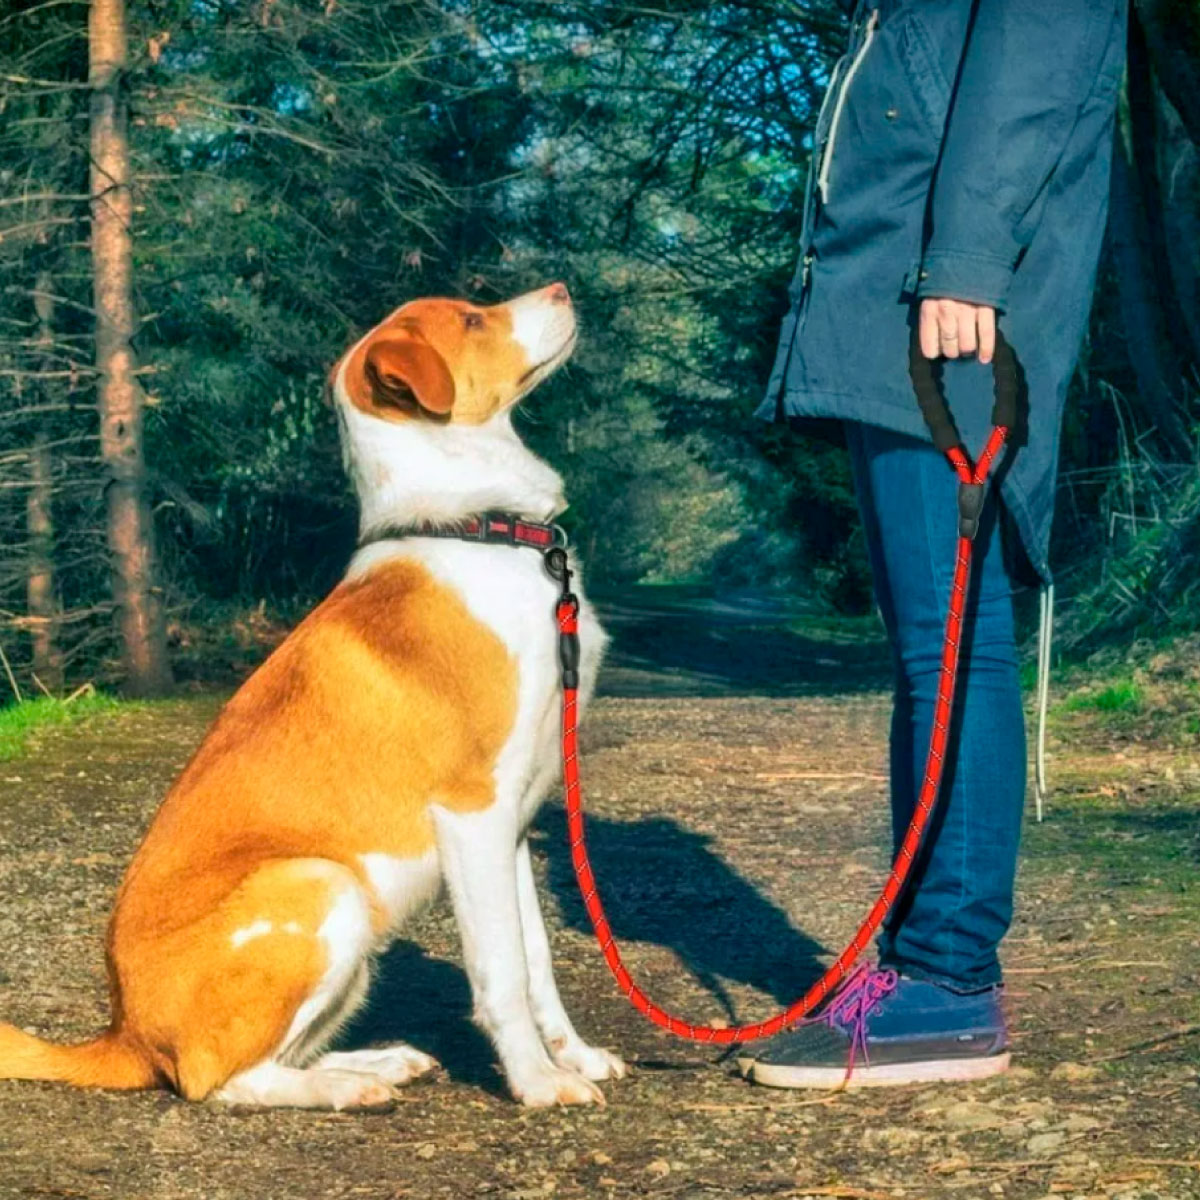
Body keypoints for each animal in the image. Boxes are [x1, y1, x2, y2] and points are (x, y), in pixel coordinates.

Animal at [0, 280, 619, 1104]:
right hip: (324, 885)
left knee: (275, 1057)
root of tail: (123, 1034)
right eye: (472, 318)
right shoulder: (473, 813)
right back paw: (347, 1087)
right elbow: (503, 973)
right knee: (218, 1080)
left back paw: (374, 1062)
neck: (472, 527)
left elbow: (538, 961)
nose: (561, 288)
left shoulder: (512, 821)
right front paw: (537, 1083)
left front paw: (572, 1058)